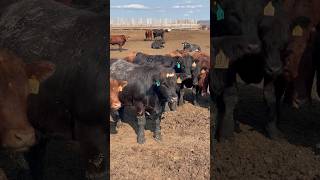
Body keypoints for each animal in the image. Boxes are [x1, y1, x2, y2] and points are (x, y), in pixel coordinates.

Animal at [210, 0, 290, 143]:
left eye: (260, 15)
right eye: (234, 15)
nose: (253, 47)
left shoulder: (270, 67)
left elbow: (270, 96)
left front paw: (272, 129)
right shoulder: (230, 64)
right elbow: (231, 96)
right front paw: (226, 132)